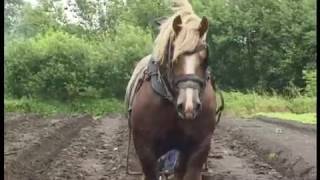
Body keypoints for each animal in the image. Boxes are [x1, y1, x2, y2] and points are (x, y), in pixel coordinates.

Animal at [125, 0, 222, 179]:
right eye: (174, 57)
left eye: (205, 57)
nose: (189, 106)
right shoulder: (145, 147)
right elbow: (151, 172)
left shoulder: (200, 145)